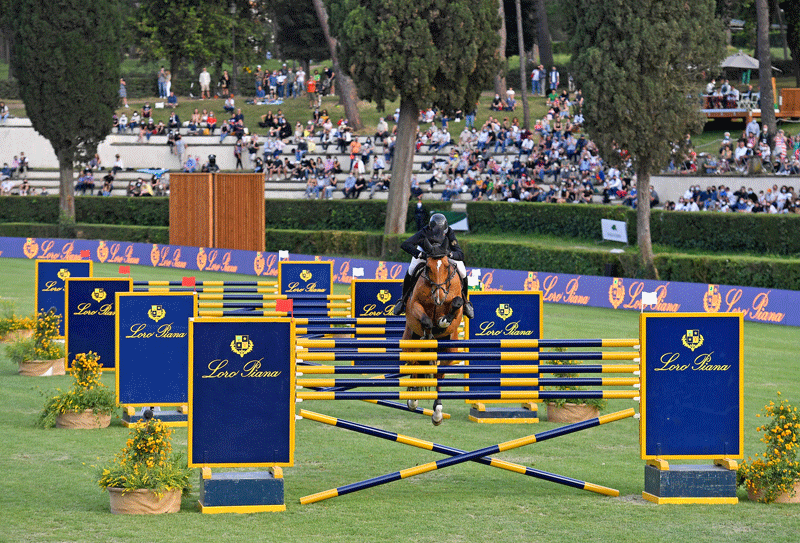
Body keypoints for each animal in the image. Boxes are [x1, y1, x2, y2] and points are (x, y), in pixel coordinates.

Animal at [404, 241, 466, 424]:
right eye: (428, 267)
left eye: (446, 266)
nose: (439, 297)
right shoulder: (414, 305)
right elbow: (425, 320)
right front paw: (430, 330)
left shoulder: (457, 305)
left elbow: (457, 304)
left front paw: (443, 322)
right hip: (409, 343)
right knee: (415, 364)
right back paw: (413, 399)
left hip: (449, 351)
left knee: (439, 373)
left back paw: (437, 412)